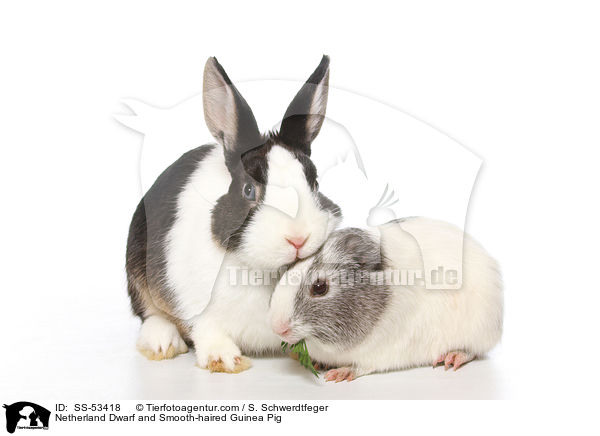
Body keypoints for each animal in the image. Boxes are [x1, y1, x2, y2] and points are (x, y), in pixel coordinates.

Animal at [125, 56, 342, 372]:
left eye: (314, 183)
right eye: (248, 191)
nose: (298, 239)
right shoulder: (195, 304)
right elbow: (206, 329)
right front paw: (225, 360)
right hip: (135, 270)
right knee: (149, 313)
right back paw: (163, 343)